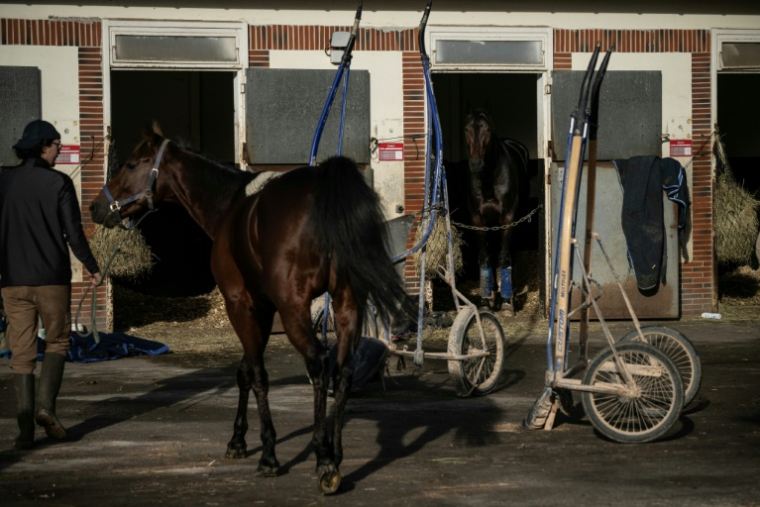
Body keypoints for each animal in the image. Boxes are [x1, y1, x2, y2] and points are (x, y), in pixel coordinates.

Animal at [89, 125, 411, 494]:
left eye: (130, 164)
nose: (96, 207)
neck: (231, 205)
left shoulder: (239, 304)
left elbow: (257, 375)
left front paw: (268, 455)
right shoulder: (263, 308)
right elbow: (245, 370)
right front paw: (238, 441)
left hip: (295, 310)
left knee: (318, 364)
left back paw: (324, 459)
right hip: (347, 306)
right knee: (343, 372)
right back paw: (337, 454)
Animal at [463, 108, 528, 313]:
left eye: (488, 130)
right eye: (466, 129)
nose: (476, 164)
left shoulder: (508, 218)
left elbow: (504, 257)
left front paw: (507, 302)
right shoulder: (477, 219)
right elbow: (485, 257)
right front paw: (485, 301)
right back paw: (492, 293)